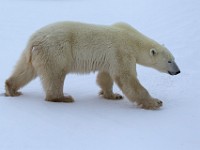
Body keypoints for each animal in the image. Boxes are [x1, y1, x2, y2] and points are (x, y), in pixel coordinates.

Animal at [4, 21, 180, 109]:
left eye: (174, 58)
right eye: (169, 61)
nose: (178, 71)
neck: (132, 39)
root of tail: (34, 39)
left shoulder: (111, 57)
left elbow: (105, 76)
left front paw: (112, 95)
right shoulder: (121, 51)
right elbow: (127, 78)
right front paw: (156, 102)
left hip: (35, 54)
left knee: (25, 70)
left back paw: (11, 89)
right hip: (56, 51)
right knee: (55, 75)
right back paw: (63, 97)